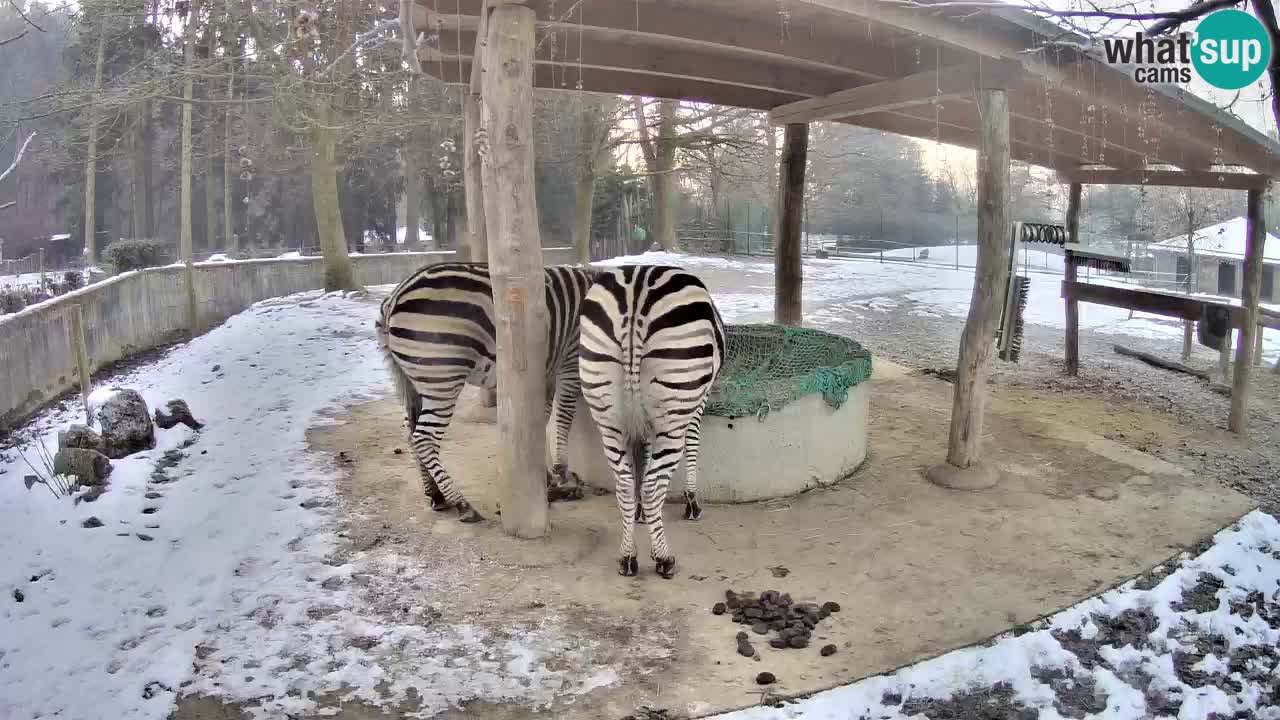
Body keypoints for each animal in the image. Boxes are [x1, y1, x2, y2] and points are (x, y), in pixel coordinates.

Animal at [373, 262, 593, 520]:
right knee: (423, 437)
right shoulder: (571, 358)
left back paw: (436, 495)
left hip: (409, 380)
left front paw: (547, 479)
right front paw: (562, 474)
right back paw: (462, 503)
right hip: (442, 379)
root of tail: (394, 297)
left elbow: (541, 419)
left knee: (410, 432)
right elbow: (563, 416)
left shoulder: (545, 372)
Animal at [578, 263, 727, 576]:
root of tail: (637, 289)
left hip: (608, 415)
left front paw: (640, 514)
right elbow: (693, 444)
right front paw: (691, 502)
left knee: (624, 484)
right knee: (652, 485)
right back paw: (663, 558)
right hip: (674, 409)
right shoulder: (698, 401)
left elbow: (643, 457)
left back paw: (627, 556)